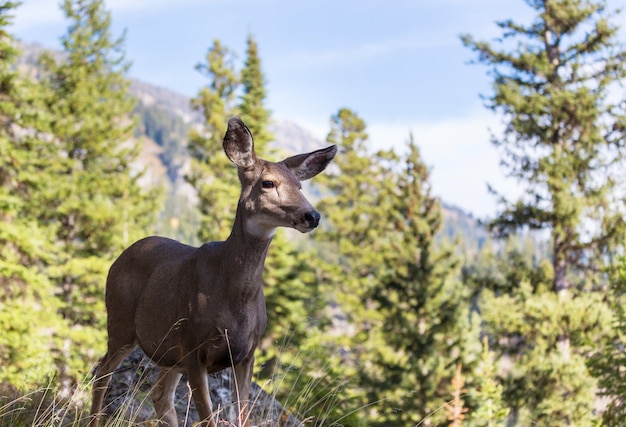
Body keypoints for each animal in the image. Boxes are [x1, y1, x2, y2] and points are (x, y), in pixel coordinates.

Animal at [88, 117, 336, 427]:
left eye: (300, 186)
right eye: (268, 182)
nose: (312, 216)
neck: (234, 297)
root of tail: (120, 257)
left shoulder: (246, 353)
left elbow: (243, 416)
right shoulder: (195, 347)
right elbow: (207, 418)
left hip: (170, 352)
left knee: (159, 392)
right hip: (122, 322)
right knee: (102, 373)